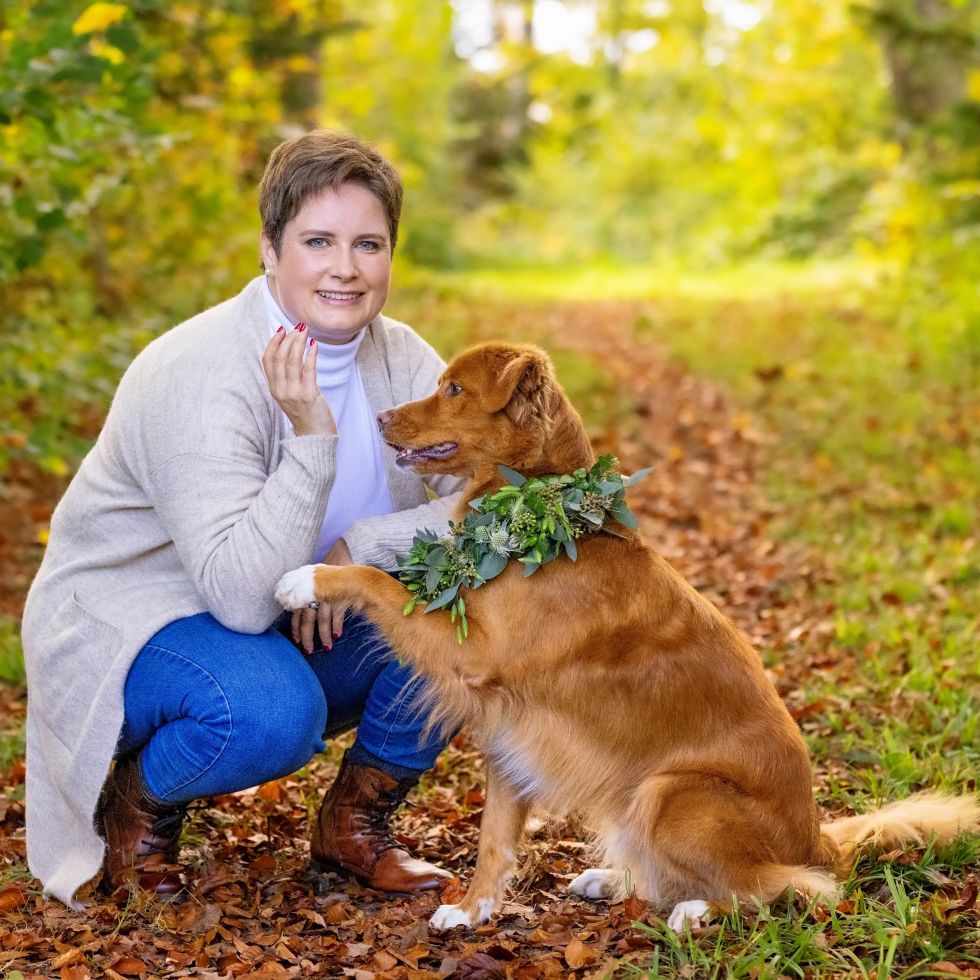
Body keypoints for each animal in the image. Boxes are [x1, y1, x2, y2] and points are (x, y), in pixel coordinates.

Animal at [276, 340, 980, 932]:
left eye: (453, 389)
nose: (382, 418)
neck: (545, 511)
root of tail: (817, 838)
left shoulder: (472, 653)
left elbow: (377, 581)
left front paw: (306, 579)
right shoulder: (509, 725)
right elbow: (495, 837)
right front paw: (475, 911)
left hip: (672, 792)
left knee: (786, 887)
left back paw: (695, 911)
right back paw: (614, 881)